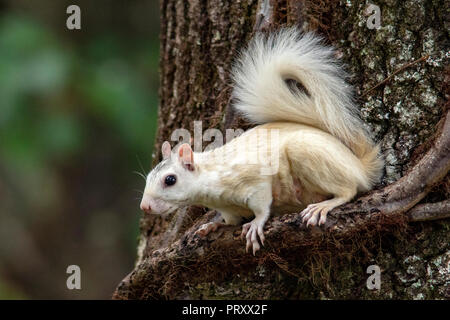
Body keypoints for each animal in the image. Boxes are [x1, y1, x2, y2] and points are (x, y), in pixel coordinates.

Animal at [140, 27, 384, 255]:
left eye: (170, 180)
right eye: (149, 177)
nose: (144, 206)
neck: (211, 178)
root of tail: (359, 166)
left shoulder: (254, 180)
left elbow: (262, 206)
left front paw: (256, 224)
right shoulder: (228, 208)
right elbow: (229, 221)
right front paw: (213, 226)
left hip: (308, 155)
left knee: (348, 190)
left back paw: (324, 205)